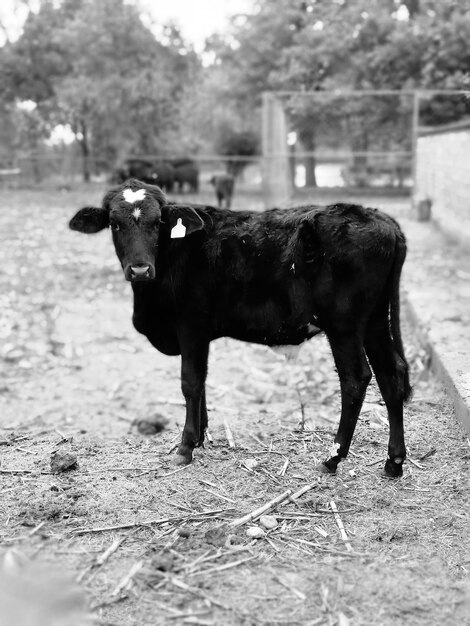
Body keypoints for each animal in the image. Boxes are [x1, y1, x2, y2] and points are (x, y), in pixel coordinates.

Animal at [70, 180, 412, 478]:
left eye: (157, 223)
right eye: (114, 223)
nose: (140, 269)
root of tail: (381, 218)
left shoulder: (190, 325)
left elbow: (190, 382)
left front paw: (185, 447)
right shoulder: (200, 334)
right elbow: (202, 382)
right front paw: (200, 436)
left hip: (344, 324)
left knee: (356, 379)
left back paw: (333, 457)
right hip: (375, 320)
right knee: (390, 374)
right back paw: (394, 462)